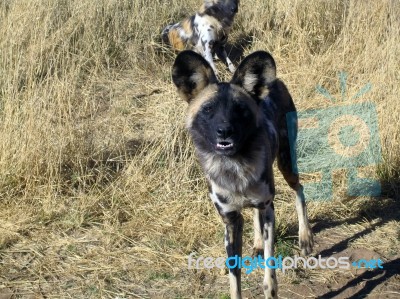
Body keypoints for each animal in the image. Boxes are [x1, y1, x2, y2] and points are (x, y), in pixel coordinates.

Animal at [170, 50, 314, 298]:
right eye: (208, 109)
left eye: (240, 109)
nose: (224, 131)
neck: (234, 168)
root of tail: (275, 81)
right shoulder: (230, 220)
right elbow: (234, 276)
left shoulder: (268, 209)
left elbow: (269, 271)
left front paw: (270, 288)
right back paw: (257, 244)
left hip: (286, 165)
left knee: (299, 190)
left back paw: (305, 238)